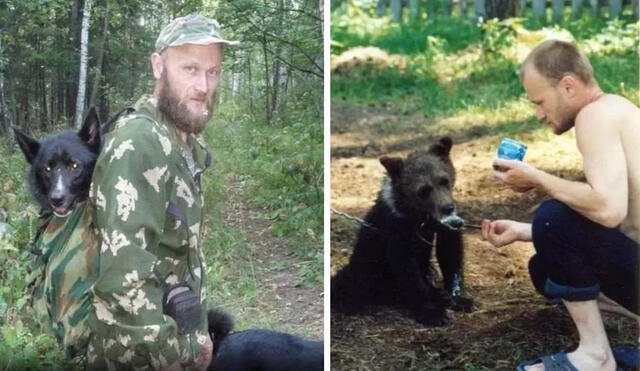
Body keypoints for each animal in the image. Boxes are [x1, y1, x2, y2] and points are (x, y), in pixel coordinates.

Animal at [332, 137, 472, 326]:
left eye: (444, 180)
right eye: (424, 190)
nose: (448, 208)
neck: (418, 216)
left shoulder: (439, 227)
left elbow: (451, 253)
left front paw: (458, 298)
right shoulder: (395, 230)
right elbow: (408, 271)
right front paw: (432, 313)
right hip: (366, 271)